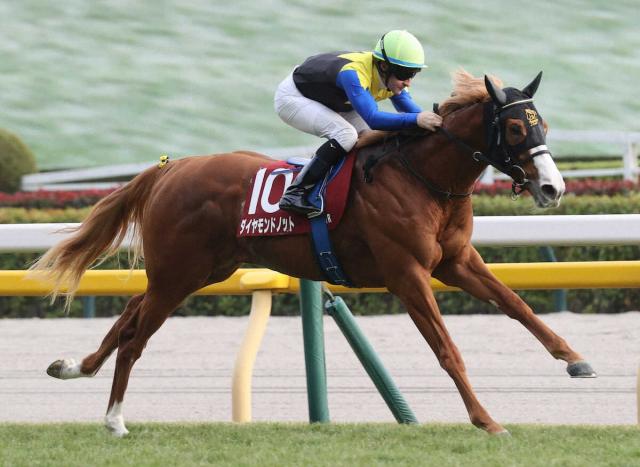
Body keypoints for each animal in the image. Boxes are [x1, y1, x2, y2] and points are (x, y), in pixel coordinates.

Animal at [32, 69, 596, 437]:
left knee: (130, 312)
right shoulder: (407, 273)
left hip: (199, 270)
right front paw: (486, 421)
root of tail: (172, 168)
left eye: (543, 124)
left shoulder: (457, 262)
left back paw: (73, 367)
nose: (553, 188)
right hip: (179, 274)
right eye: (517, 128)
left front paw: (575, 359)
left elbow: (517, 305)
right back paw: (114, 419)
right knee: (135, 337)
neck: (424, 180)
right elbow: (447, 349)